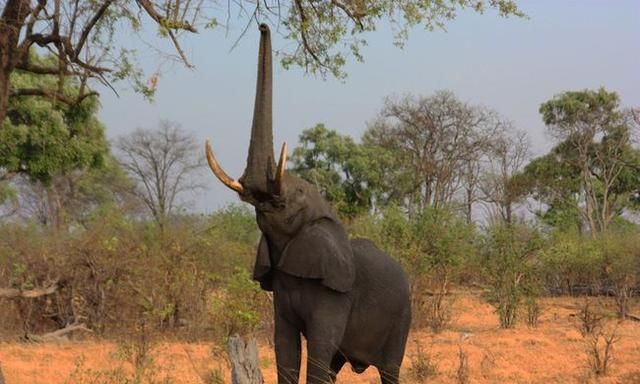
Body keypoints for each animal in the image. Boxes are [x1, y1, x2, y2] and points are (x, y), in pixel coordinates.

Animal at [206, 24, 416, 384]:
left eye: (295, 196)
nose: (263, 25)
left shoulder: (336, 293)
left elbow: (319, 345)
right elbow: (284, 345)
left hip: (403, 316)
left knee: (388, 368)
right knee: (335, 365)